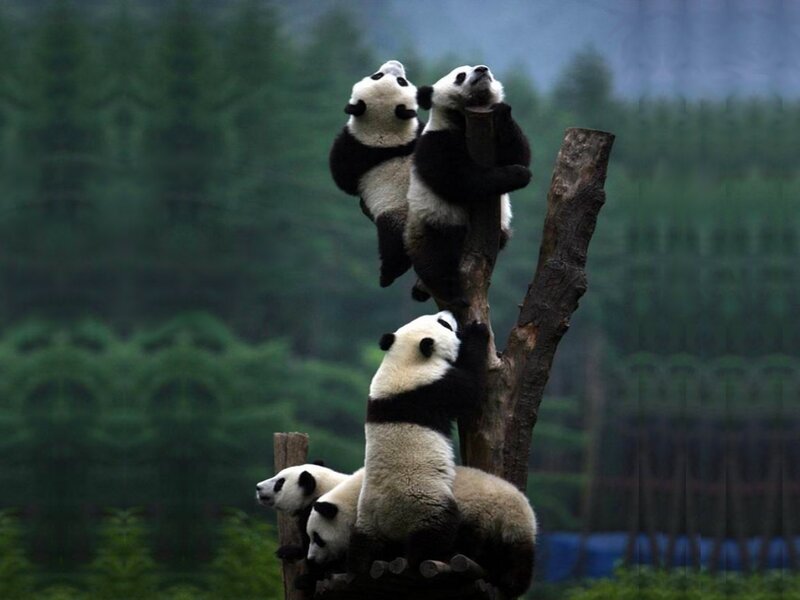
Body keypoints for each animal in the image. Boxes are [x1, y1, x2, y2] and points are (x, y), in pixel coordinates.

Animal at [307, 466, 537, 598]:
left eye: (317, 538)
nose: (310, 559)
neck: (353, 493)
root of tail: (511, 512)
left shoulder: (385, 513)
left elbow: (380, 547)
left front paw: (338, 568)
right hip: (515, 534)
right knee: (518, 558)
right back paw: (510, 584)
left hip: (476, 513)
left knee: (469, 543)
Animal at [329, 60, 421, 288]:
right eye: (377, 75)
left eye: (401, 81)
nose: (396, 63)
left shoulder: (355, 146)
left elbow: (342, 177)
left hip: (396, 212)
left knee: (394, 245)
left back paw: (387, 276)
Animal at [348, 310, 489, 574]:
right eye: (443, 324)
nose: (447, 313)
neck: (404, 361)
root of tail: (388, 522)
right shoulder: (434, 387)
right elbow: (471, 388)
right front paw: (476, 332)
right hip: (424, 501)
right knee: (435, 530)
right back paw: (431, 556)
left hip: (366, 517)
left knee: (361, 544)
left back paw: (356, 567)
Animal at [405, 64, 531, 305]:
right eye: (460, 76)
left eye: (483, 69)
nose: (482, 70)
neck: (462, 119)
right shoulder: (436, 142)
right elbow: (461, 181)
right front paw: (519, 174)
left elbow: (519, 154)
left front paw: (502, 111)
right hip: (433, 222)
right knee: (438, 259)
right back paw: (453, 295)